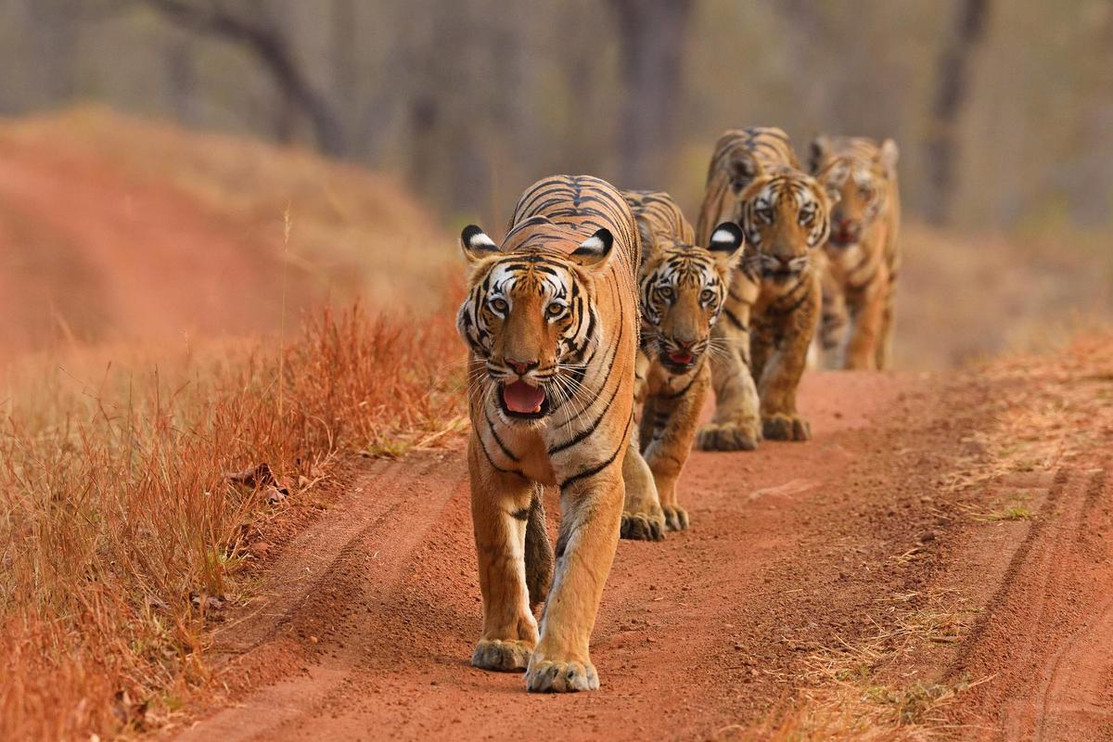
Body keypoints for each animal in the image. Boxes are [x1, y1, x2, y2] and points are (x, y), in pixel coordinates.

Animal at [456, 174, 647, 693]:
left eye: (555, 309)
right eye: (500, 306)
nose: (521, 364)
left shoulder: (597, 477)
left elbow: (580, 571)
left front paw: (561, 666)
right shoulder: (491, 465)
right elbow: (499, 556)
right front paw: (505, 645)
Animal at [622, 189, 745, 531]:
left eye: (706, 296)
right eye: (666, 293)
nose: (686, 342)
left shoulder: (693, 384)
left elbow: (670, 448)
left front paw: (666, 509)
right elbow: (631, 459)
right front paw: (639, 515)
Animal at [694, 127, 839, 451]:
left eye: (805, 215)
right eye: (767, 213)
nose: (785, 257)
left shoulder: (805, 301)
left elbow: (787, 364)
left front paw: (780, 418)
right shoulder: (725, 306)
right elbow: (733, 370)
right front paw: (732, 427)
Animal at [808, 136, 901, 370]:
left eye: (863, 192)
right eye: (833, 189)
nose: (845, 222)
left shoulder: (875, 281)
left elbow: (863, 329)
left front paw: (855, 365)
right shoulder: (821, 278)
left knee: (884, 329)